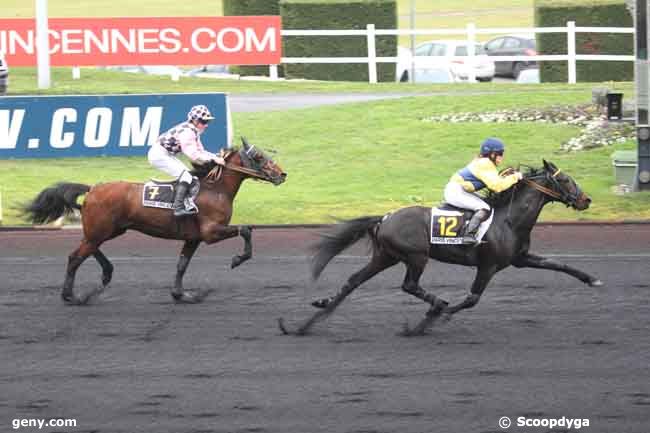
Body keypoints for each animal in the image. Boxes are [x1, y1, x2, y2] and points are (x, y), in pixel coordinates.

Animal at [23, 138, 286, 304]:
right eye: (258, 156)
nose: (282, 174)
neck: (215, 189)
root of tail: (92, 189)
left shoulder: (193, 238)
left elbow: (182, 265)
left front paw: (181, 295)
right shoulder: (211, 232)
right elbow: (246, 229)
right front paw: (237, 259)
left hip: (108, 230)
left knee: (87, 247)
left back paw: (106, 273)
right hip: (102, 230)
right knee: (76, 257)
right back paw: (72, 296)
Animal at [276, 160, 600, 336]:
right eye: (566, 179)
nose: (586, 200)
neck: (508, 219)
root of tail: (385, 217)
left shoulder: (520, 258)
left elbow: (559, 264)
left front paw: (592, 279)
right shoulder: (488, 265)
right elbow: (471, 299)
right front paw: (431, 320)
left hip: (385, 256)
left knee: (353, 281)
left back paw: (308, 320)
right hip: (416, 256)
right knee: (409, 285)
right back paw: (436, 305)